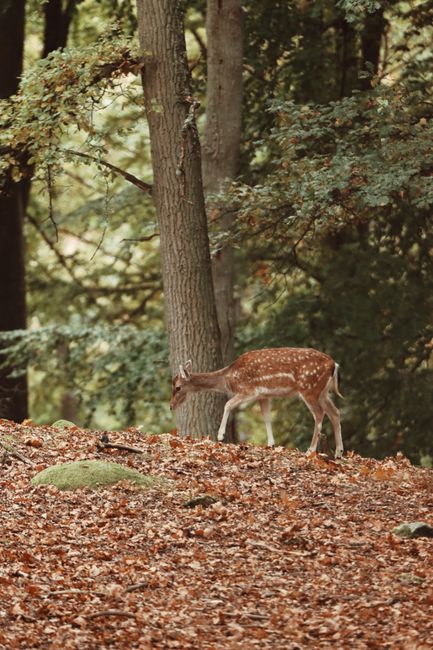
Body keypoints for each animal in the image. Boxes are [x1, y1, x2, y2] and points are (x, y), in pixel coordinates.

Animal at [170, 348, 344, 458]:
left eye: (178, 387)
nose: (171, 406)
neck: (229, 378)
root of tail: (334, 365)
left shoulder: (249, 390)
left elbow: (228, 404)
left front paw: (220, 435)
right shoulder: (263, 395)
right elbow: (266, 417)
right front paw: (271, 444)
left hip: (309, 388)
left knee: (319, 414)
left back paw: (311, 450)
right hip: (323, 392)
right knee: (335, 412)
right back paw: (338, 453)